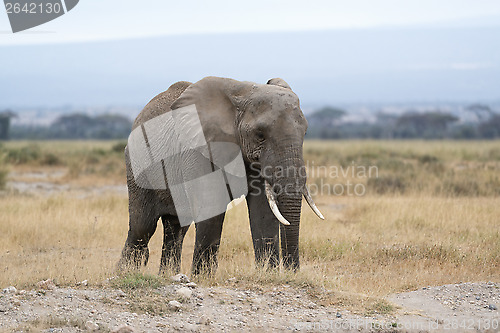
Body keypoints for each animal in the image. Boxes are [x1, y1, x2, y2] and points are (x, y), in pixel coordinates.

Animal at [119, 76, 326, 274]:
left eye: (305, 133)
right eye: (260, 135)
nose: (293, 271)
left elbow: (263, 210)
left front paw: (268, 274)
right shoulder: (201, 149)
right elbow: (211, 206)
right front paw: (203, 276)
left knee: (176, 227)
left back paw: (166, 274)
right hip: (137, 166)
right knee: (142, 227)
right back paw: (125, 273)